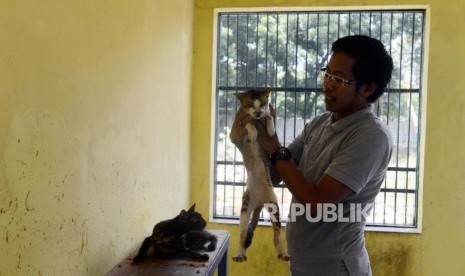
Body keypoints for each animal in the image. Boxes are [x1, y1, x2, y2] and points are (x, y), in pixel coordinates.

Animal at [227, 88, 288, 260]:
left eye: (261, 103)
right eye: (249, 105)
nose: (257, 112)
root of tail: (260, 200)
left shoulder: (267, 113)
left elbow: (269, 117)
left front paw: (270, 129)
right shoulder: (234, 133)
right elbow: (247, 123)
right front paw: (253, 132)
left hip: (274, 205)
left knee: (277, 234)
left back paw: (282, 253)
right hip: (246, 205)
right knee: (242, 233)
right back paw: (240, 254)